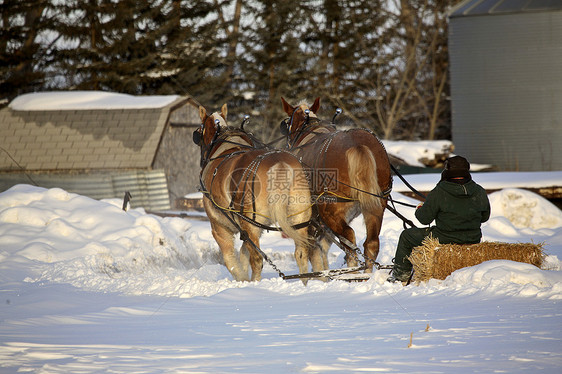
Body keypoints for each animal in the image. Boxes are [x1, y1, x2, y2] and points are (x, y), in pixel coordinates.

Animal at [278, 97, 392, 272]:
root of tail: (357, 145)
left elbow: (311, 250)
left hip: (329, 211)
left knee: (350, 243)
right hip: (376, 206)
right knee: (371, 244)